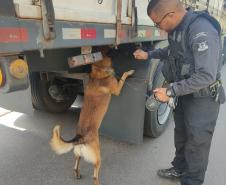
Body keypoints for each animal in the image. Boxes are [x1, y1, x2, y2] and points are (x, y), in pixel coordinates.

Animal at [49, 56, 134, 185]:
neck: (98, 74)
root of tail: (80, 138)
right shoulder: (117, 89)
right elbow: (124, 76)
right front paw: (129, 72)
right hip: (98, 157)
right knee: (95, 176)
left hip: (78, 154)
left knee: (75, 165)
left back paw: (77, 174)